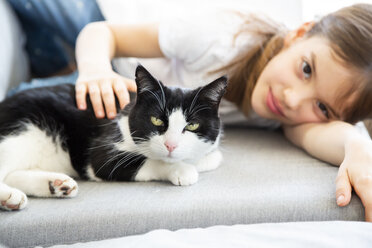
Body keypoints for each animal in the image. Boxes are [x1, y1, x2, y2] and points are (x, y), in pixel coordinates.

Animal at [0, 65, 227, 210]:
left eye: (192, 125)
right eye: (156, 120)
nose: (171, 145)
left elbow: (213, 157)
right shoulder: (102, 151)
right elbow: (147, 161)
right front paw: (181, 170)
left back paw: (56, 185)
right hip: (22, 128)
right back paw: (10, 196)